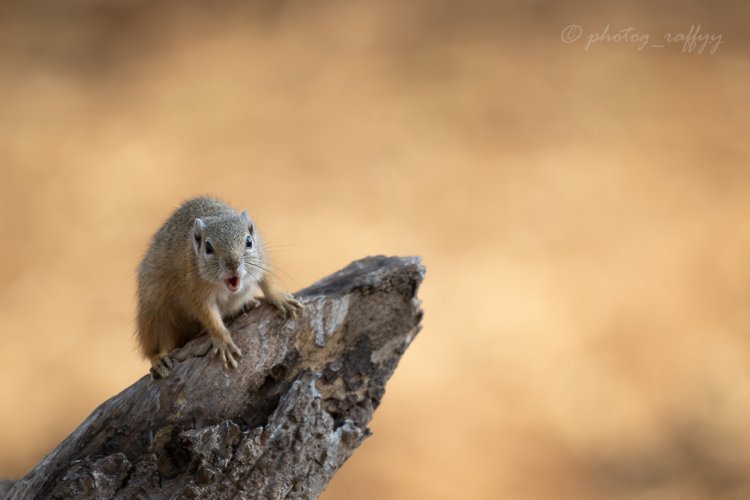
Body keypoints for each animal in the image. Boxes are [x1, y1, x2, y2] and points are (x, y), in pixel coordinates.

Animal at [137, 197, 302, 376]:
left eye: (249, 241)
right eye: (208, 247)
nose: (233, 264)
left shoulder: (261, 258)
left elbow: (268, 280)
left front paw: (280, 299)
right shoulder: (195, 290)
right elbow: (210, 318)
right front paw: (223, 342)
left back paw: (247, 304)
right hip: (154, 310)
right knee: (155, 342)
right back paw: (159, 359)